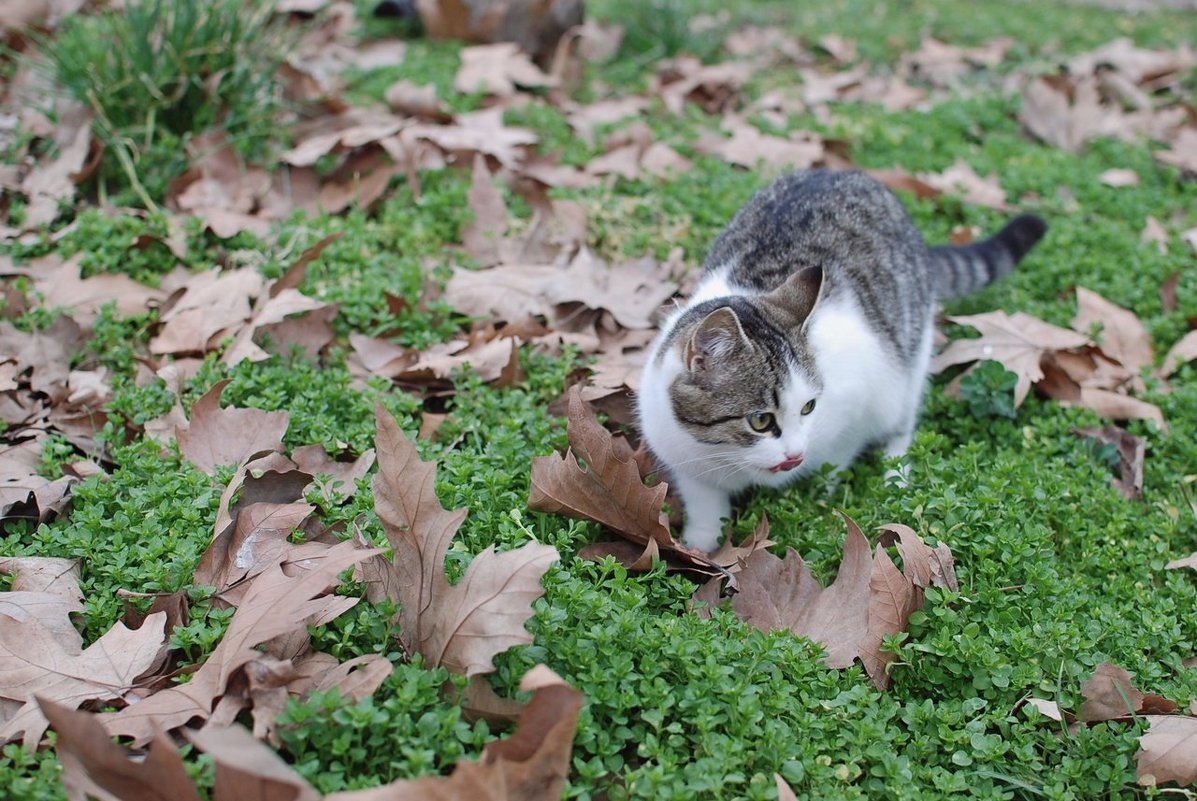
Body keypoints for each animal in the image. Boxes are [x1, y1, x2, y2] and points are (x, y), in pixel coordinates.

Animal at [636, 167, 1048, 550]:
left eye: (808, 407)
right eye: (760, 420)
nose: (794, 456)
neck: (729, 456)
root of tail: (850, 172)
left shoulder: (862, 400)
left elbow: (840, 453)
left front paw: (823, 492)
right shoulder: (681, 453)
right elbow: (705, 502)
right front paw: (699, 546)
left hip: (911, 360)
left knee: (903, 423)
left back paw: (895, 475)